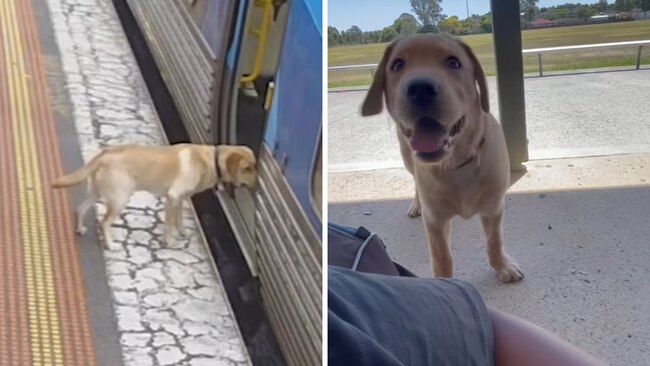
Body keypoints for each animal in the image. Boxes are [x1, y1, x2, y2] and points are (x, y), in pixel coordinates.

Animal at [51, 144, 258, 250]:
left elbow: (178, 219)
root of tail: (104, 154)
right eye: (246, 169)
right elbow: (168, 224)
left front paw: (182, 232)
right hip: (120, 199)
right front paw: (169, 241)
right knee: (104, 222)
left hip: (97, 191)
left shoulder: (181, 199)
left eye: (254, 166)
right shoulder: (174, 196)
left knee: (81, 208)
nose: (257, 186)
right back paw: (110, 244)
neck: (212, 160)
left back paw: (80, 229)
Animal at [362, 34, 524, 284]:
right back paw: (416, 204)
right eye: (397, 65)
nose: (420, 89)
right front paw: (445, 283)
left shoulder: (494, 207)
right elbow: (442, 258)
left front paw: (502, 266)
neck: (457, 163)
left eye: (453, 62)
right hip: (408, 158)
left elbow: (494, 241)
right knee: (416, 182)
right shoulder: (435, 220)